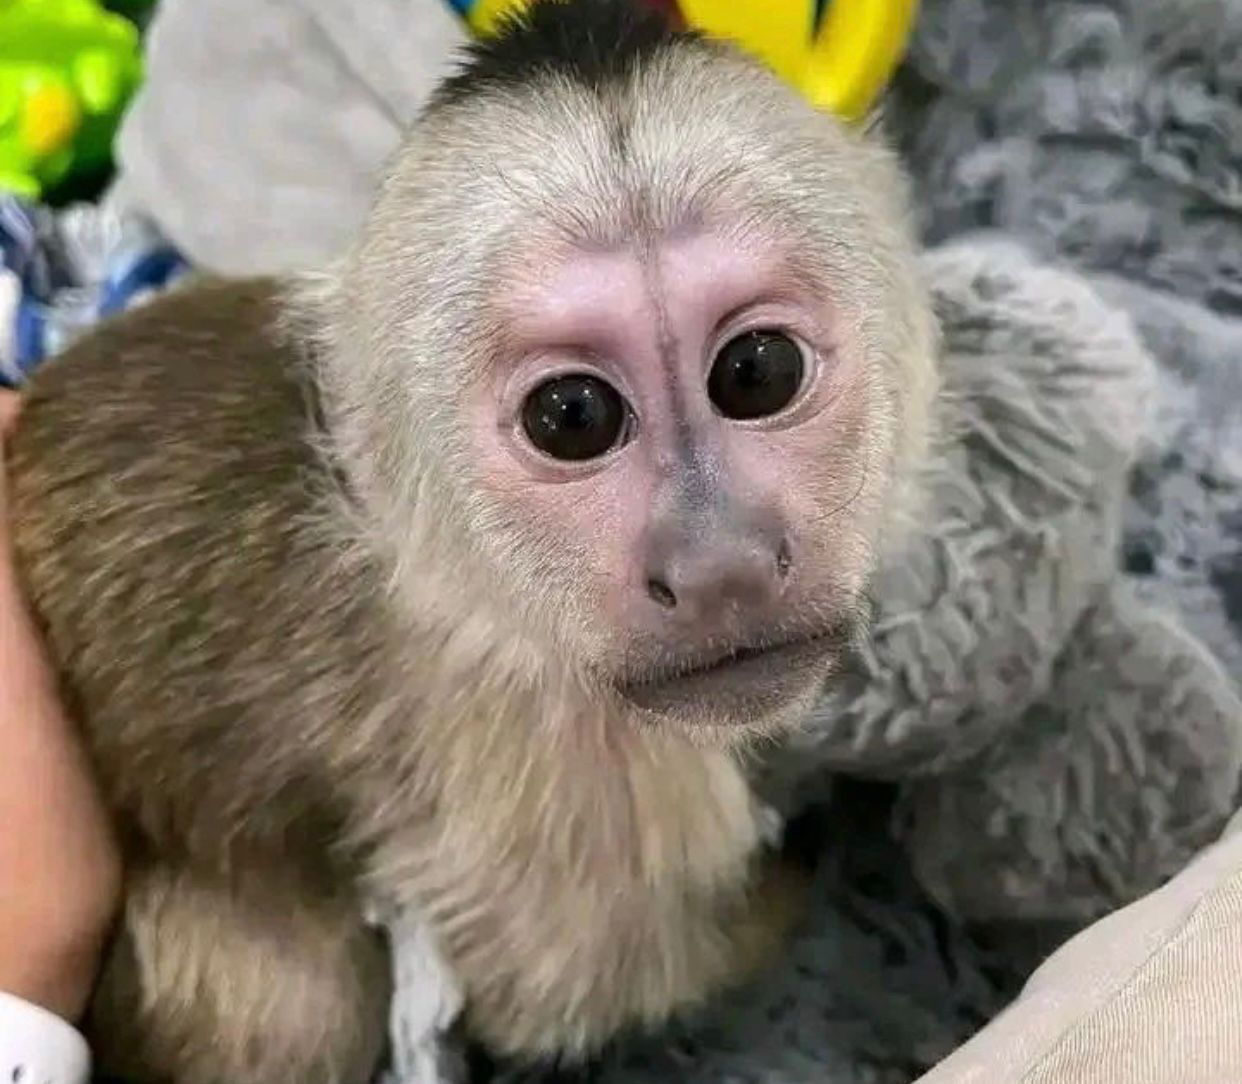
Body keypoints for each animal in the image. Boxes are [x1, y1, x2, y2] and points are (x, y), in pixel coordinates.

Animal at [4, 1, 938, 1081]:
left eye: (757, 371)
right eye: (572, 416)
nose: (721, 565)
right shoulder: (543, 749)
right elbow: (579, 989)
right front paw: (828, 849)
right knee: (295, 1001)